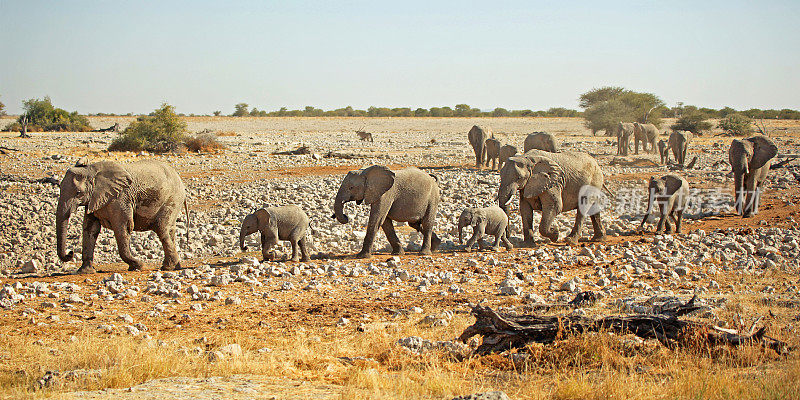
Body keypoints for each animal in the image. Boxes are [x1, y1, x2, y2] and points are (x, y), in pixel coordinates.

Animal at [55, 159, 190, 276]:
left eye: (78, 193)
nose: (70, 252)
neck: (92, 170)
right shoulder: (94, 200)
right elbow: (91, 229)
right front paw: (85, 271)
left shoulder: (120, 199)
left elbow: (123, 228)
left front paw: (140, 266)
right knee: (170, 231)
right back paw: (174, 266)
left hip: (172, 199)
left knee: (162, 228)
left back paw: (168, 268)